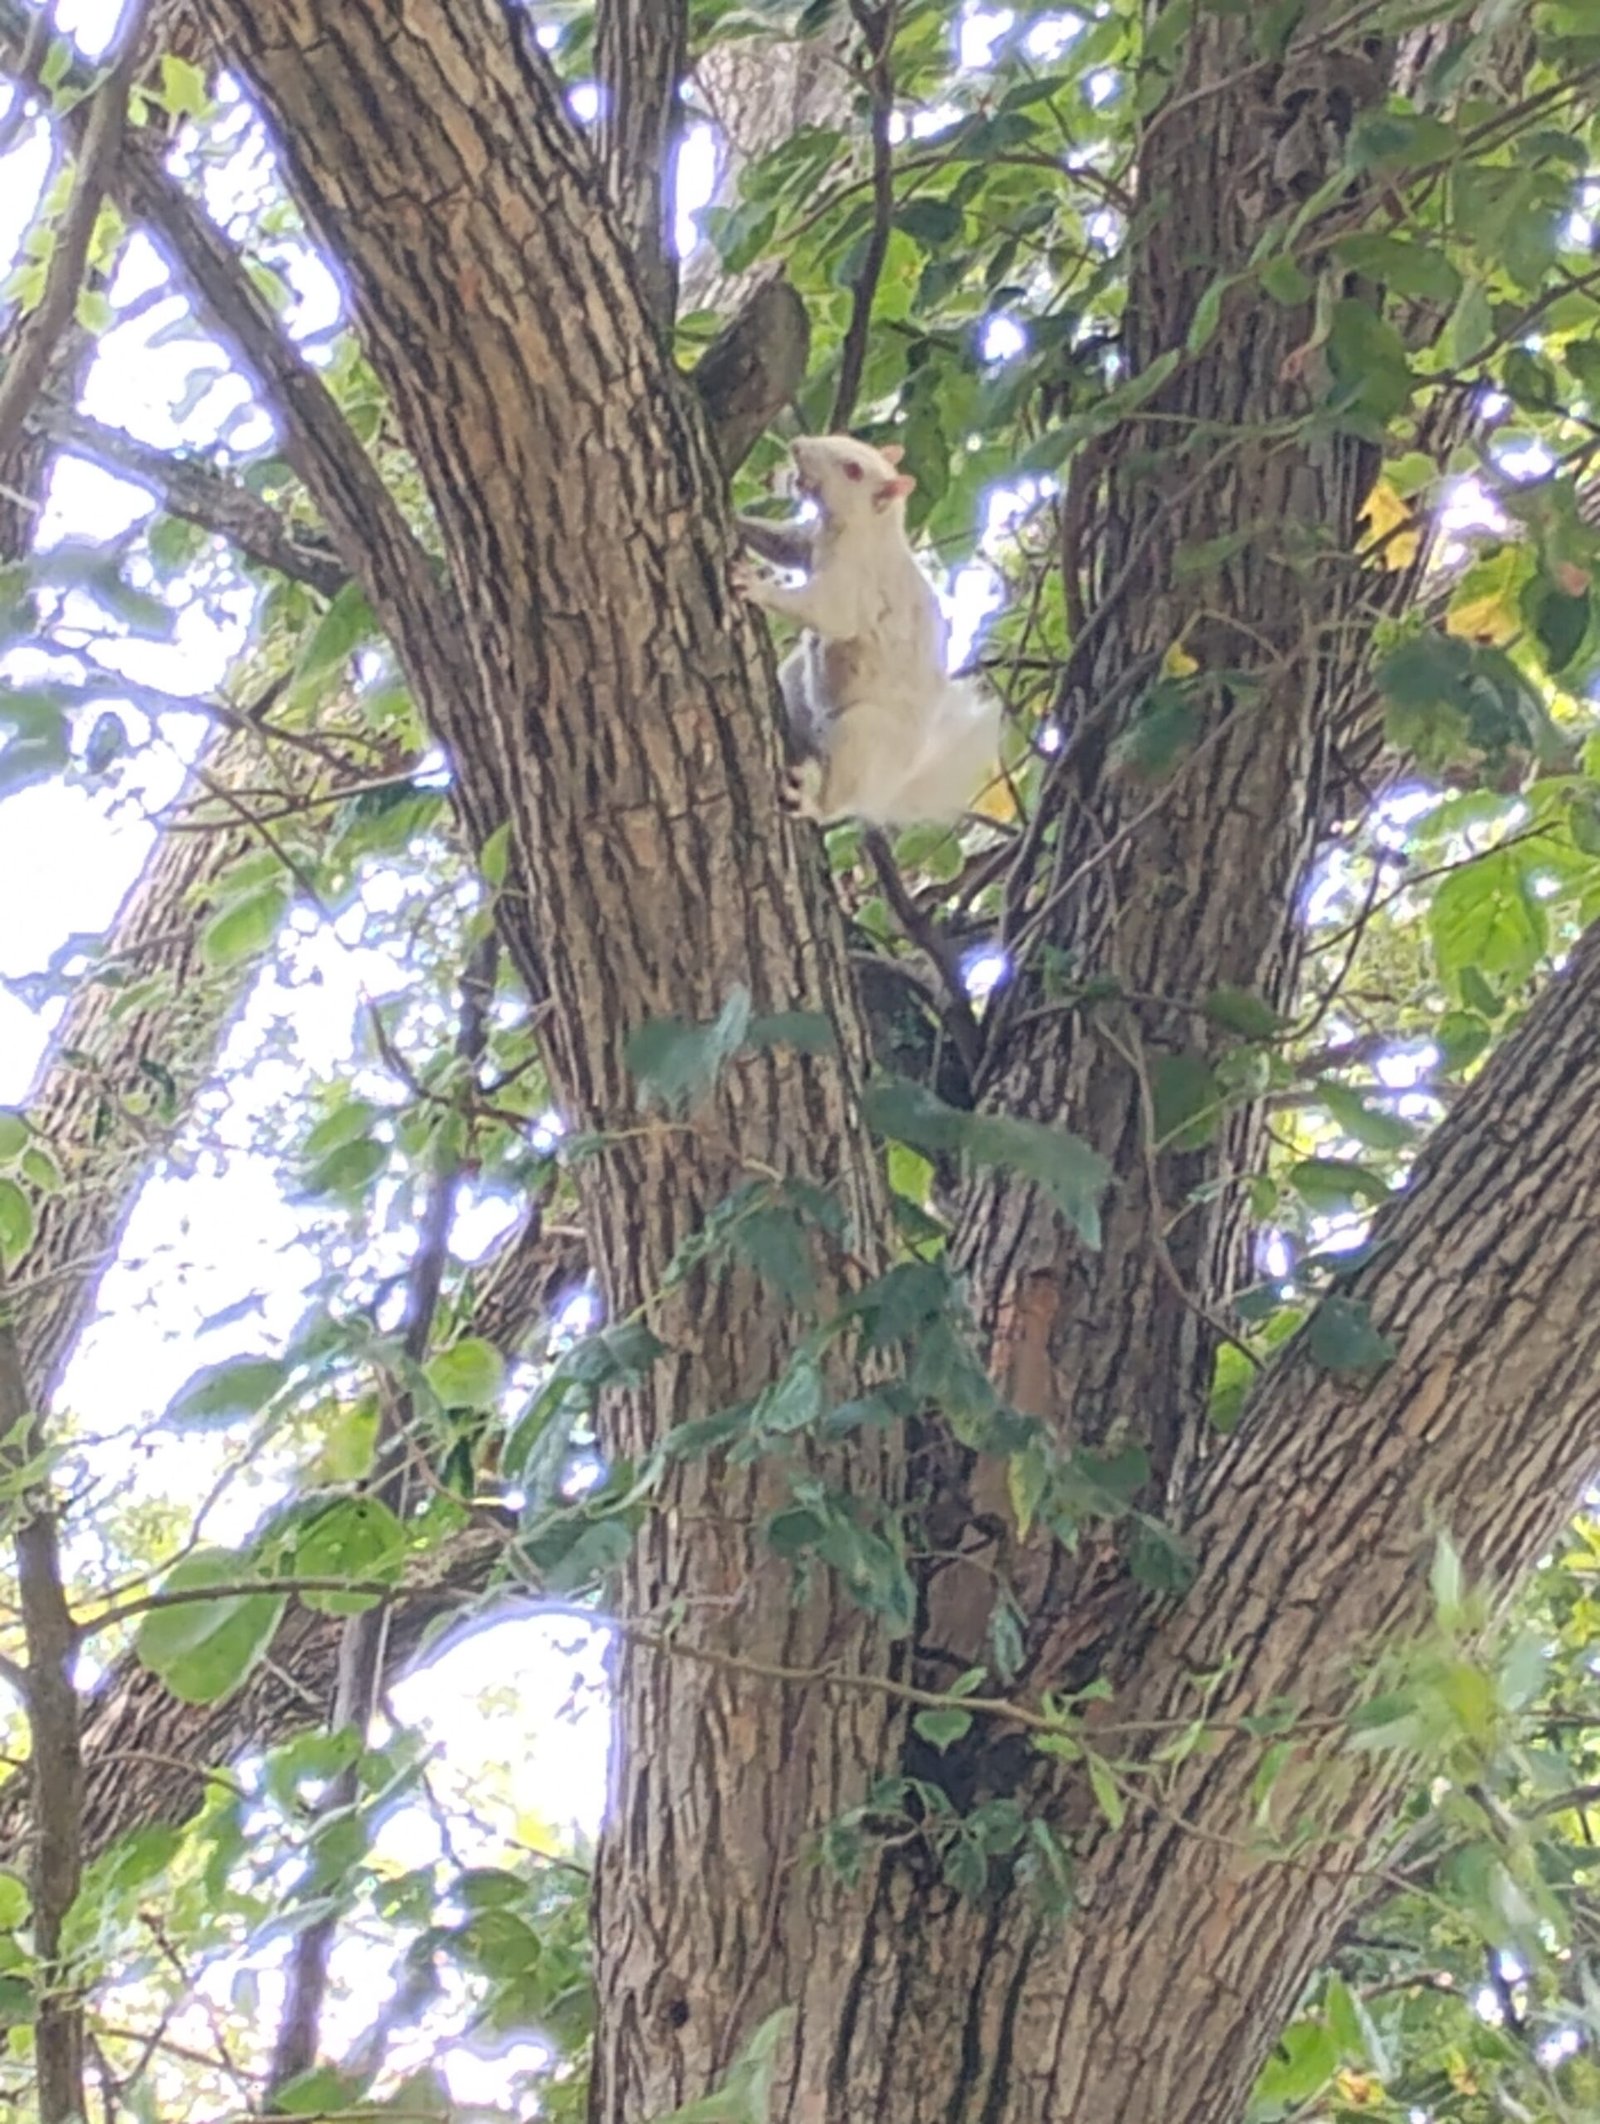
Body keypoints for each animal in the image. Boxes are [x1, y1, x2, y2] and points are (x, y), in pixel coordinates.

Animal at [732, 435, 1000, 829]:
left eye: (853, 470)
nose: (797, 445)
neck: (864, 528)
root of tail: (888, 787)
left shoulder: (857, 585)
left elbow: (826, 612)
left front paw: (756, 588)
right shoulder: (808, 542)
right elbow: (783, 544)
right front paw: (736, 518)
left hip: (863, 735)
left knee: (839, 802)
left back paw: (811, 805)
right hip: (799, 689)